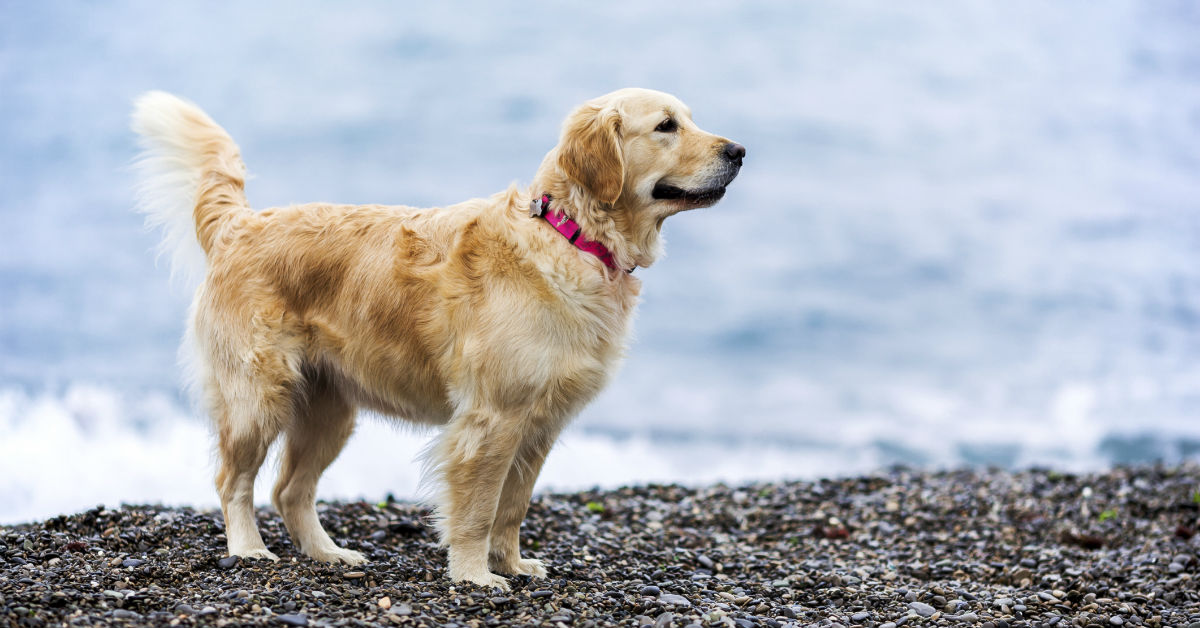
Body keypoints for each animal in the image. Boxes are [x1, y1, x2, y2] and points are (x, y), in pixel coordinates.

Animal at [131, 88, 739, 590]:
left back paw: (330, 554)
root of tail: (240, 224)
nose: (739, 151)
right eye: (666, 126)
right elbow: (477, 509)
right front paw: (474, 575)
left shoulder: (539, 423)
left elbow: (512, 507)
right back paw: (249, 548)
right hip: (259, 395)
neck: (571, 236)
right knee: (234, 479)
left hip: (330, 410)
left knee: (289, 490)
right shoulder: (492, 417)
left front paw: (511, 564)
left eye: (688, 119)